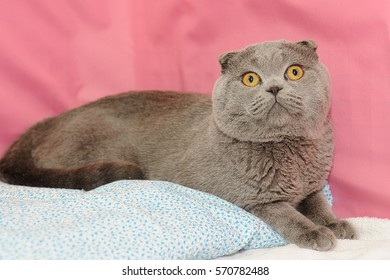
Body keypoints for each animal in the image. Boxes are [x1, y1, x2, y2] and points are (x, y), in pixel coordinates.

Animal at [0, 38, 356, 249]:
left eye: (294, 72)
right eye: (250, 78)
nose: (273, 87)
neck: (290, 153)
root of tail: (48, 122)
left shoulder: (312, 184)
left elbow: (318, 204)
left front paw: (336, 225)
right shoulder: (252, 200)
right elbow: (287, 214)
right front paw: (315, 234)